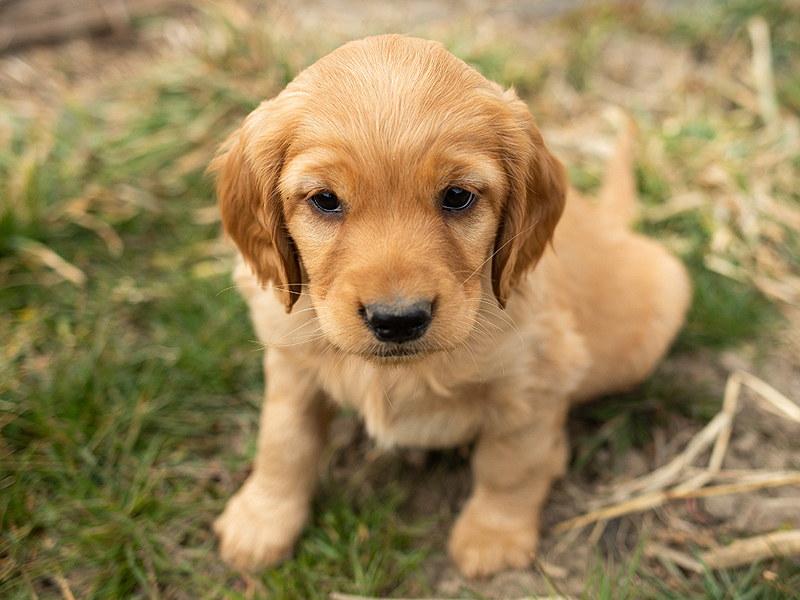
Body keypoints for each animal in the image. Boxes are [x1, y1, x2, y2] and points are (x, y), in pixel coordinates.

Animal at [209, 35, 692, 580]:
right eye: (325, 200)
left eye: (458, 196)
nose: (398, 320)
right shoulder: (291, 363)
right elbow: (283, 443)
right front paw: (262, 520)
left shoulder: (533, 381)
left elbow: (510, 464)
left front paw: (493, 536)